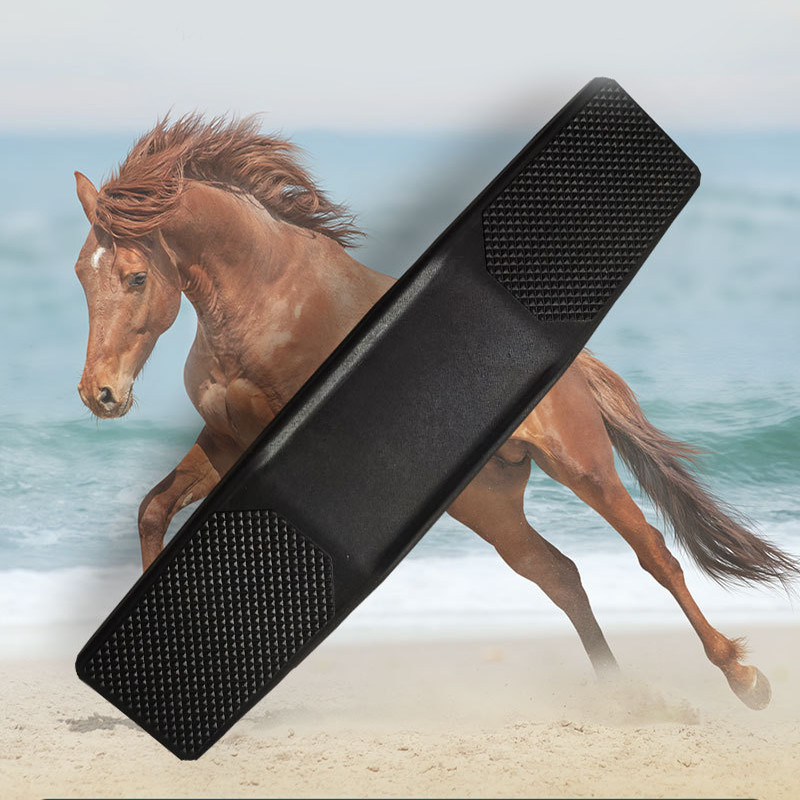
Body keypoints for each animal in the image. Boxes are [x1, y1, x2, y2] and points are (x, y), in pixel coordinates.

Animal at [72, 114, 796, 712]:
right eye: (82, 272)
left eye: (136, 277)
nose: (98, 393)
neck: (269, 302)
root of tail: (574, 372)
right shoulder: (225, 440)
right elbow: (154, 510)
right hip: (487, 503)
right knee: (558, 575)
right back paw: (623, 694)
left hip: (581, 465)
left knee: (653, 553)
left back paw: (743, 676)